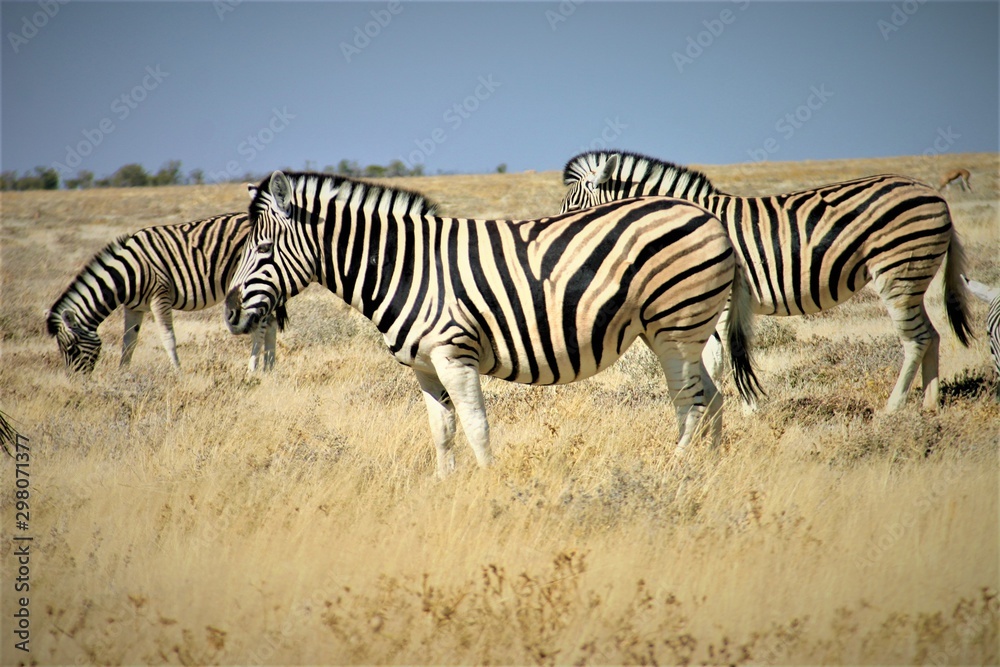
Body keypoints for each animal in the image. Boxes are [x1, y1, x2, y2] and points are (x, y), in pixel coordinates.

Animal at [46, 212, 288, 375]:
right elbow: (129, 340)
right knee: (271, 322)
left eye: (70, 349)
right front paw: (122, 374)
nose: (75, 382)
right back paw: (269, 369)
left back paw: (253, 369)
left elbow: (168, 338)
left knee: (261, 324)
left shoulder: (160, 296)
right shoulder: (134, 306)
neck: (127, 273)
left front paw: (178, 373)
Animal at [224, 171, 760, 477]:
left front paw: (487, 489)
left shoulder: (454, 355)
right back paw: (709, 474)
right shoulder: (424, 367)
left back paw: (674, 472)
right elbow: (442, 431)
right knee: (712, 399)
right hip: (673, 333)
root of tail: (711, 218)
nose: (229, 313)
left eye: (264, 247)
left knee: (691, 403)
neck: (405, 267)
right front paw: (444, 489)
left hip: (677, 327)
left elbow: (477, 427)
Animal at [560, 150, 974, 412]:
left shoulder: (719, 302)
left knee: (915, 339)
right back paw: (930, 405)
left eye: (573, 207)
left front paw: (740, 409)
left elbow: (718, 358)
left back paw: (893, 408)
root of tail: (935, 196)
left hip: (897, 272)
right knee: (932, 334)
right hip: (912, 277)